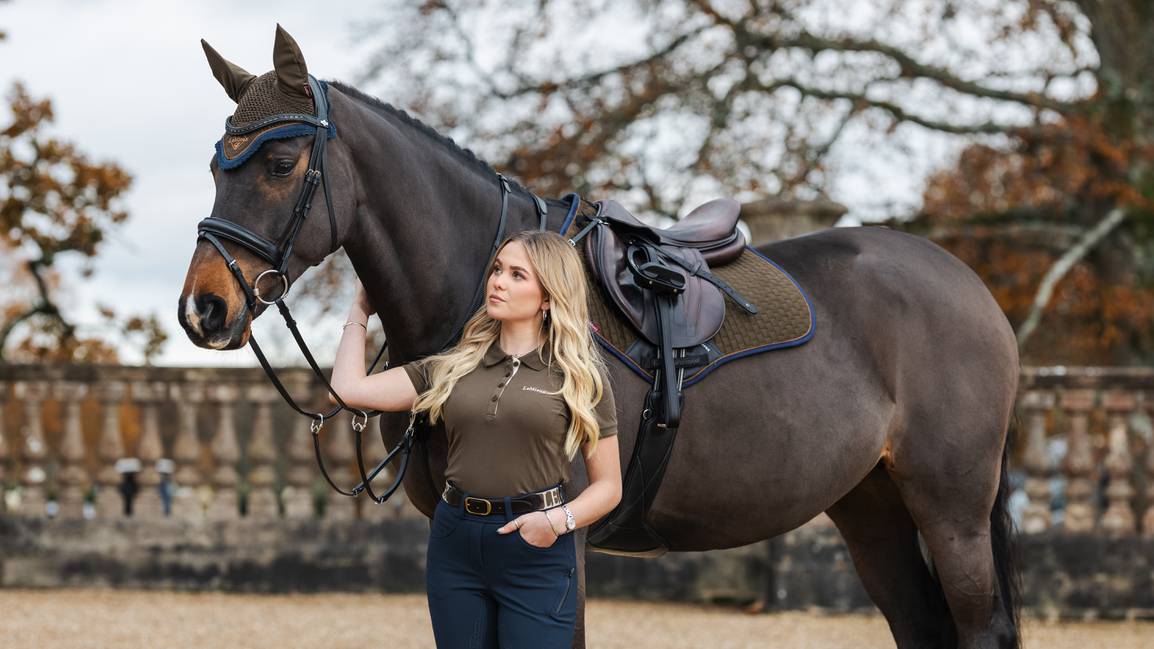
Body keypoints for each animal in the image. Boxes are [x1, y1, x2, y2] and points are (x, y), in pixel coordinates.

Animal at [180, 27, 1020, 646]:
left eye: (281, 160)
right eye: (216, 164)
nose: (203, 308)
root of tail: (969, 284)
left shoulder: (560, 539)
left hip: (951, 510)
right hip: (872, 505)